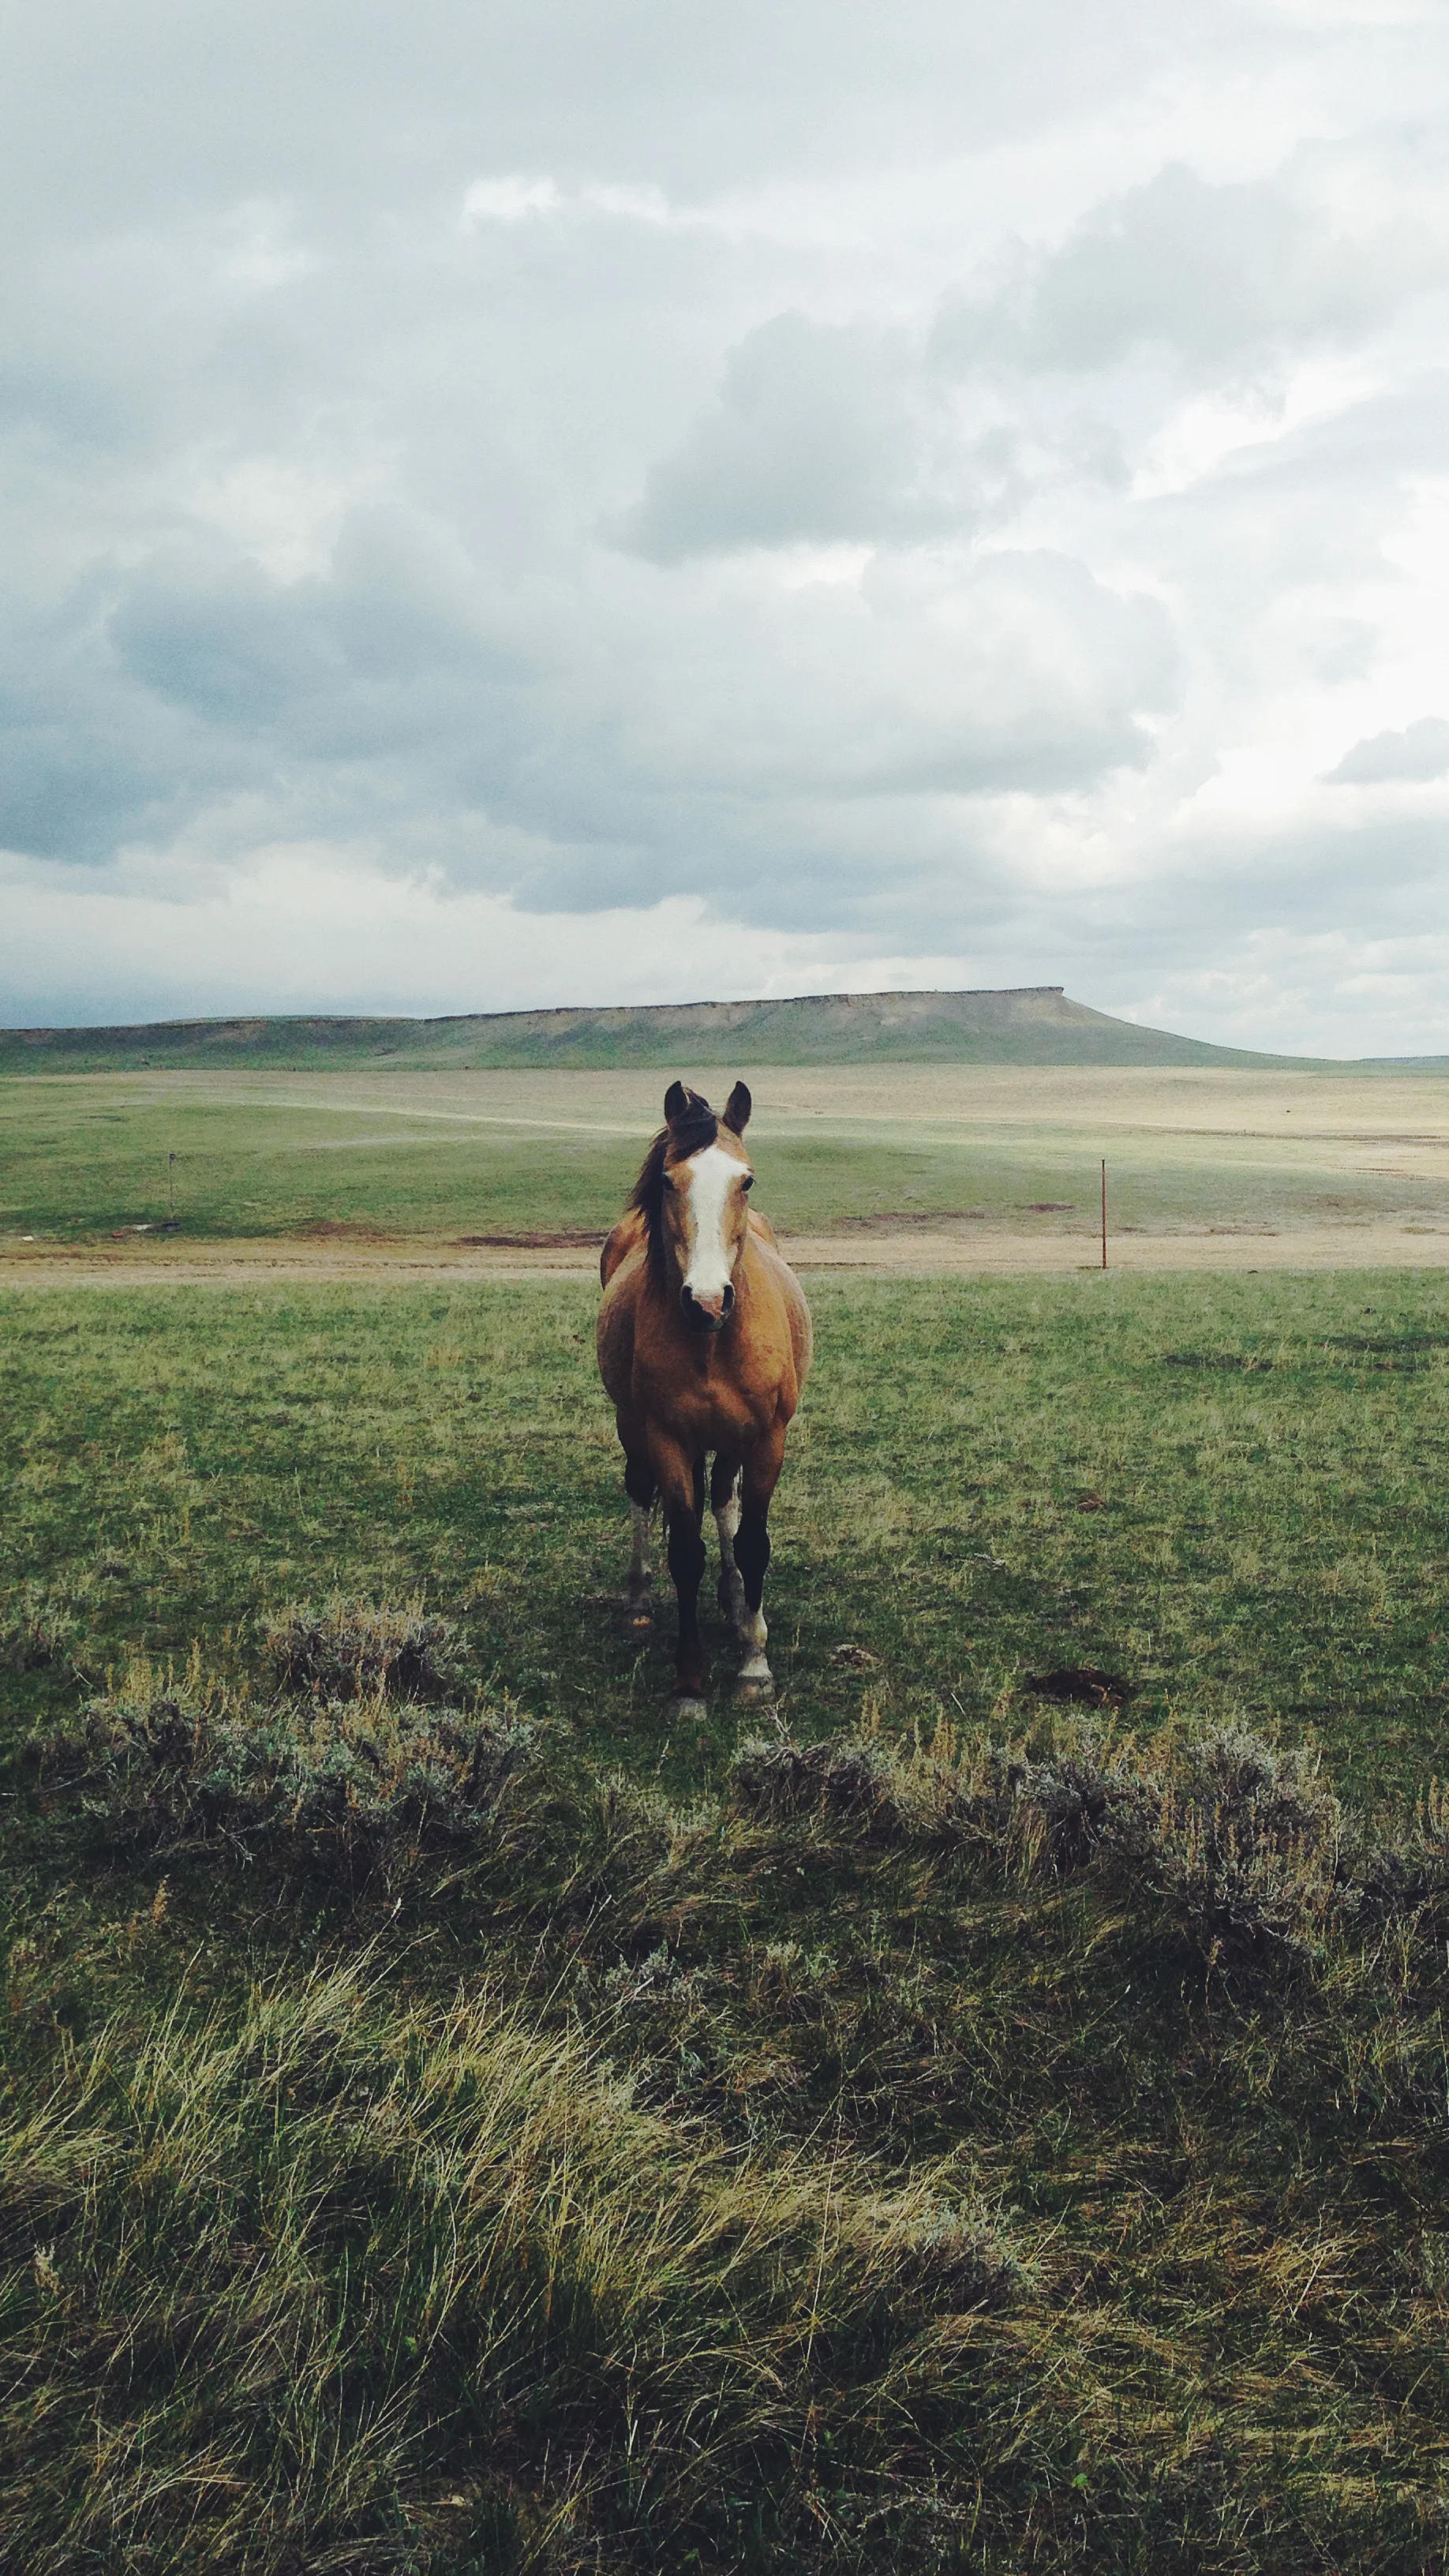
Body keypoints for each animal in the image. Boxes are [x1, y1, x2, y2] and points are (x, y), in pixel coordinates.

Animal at [597, 1079, 813, 1715]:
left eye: (747, 1180)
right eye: (669, 1181)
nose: (708, 1300)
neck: (713, 1342)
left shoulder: (766, 1439)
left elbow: (753, 1541)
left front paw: (754, 1665)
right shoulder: (668, 1438)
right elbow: (685, 1552)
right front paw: (689, 1683)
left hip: (731, 1440)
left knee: (723, 1501)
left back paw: (737, 1602)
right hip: (632, 1427)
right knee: (640, 1494)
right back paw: (639, 1604)